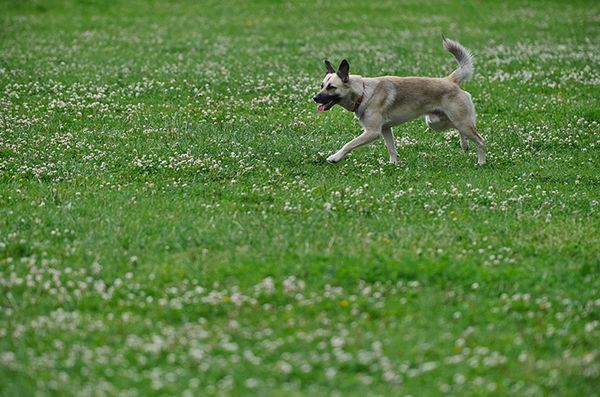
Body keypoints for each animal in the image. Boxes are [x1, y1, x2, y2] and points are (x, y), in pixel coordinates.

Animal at [312, 37, 486, 166]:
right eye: (322, 86)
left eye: (331, 87)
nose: (315, 98)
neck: (363, 91)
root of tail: (450, 80)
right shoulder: (385, 129)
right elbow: (391, 148)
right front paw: (393, 164)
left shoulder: (372, 132)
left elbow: (349, 144)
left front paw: (335, 157)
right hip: (436, 122)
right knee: (459, 129)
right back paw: (464, 145)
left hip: (457, 121)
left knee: (480, 140)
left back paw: (481, 162)